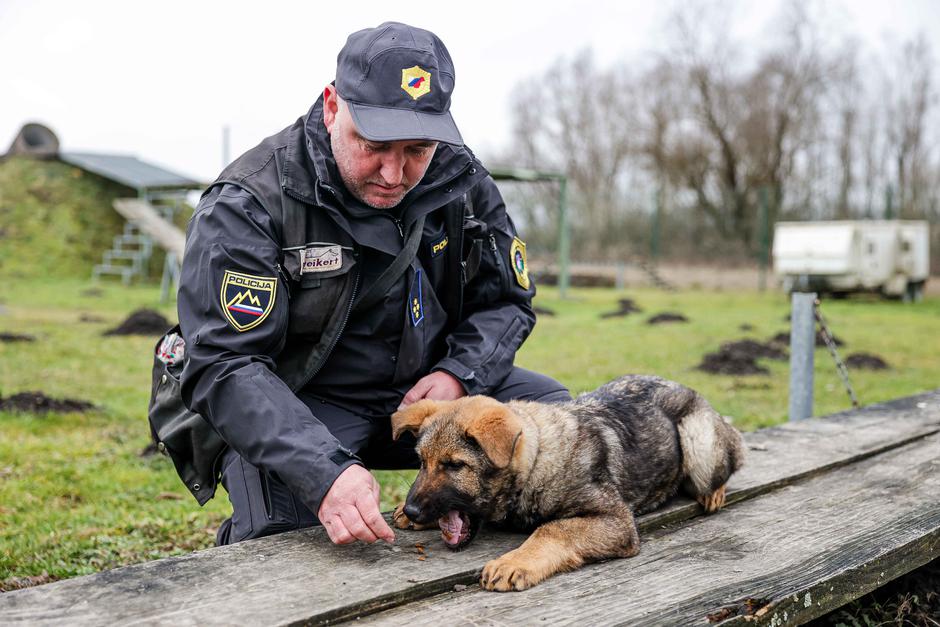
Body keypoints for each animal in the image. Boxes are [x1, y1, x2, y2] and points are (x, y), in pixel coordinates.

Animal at [388, 378, 740, 592]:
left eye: (455, 465)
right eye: (422, 462)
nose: (413, 509)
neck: (536, 459)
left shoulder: (616, 520)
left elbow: (553, 529)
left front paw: (514, 562)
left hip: (699, 444)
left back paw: (714, 490)